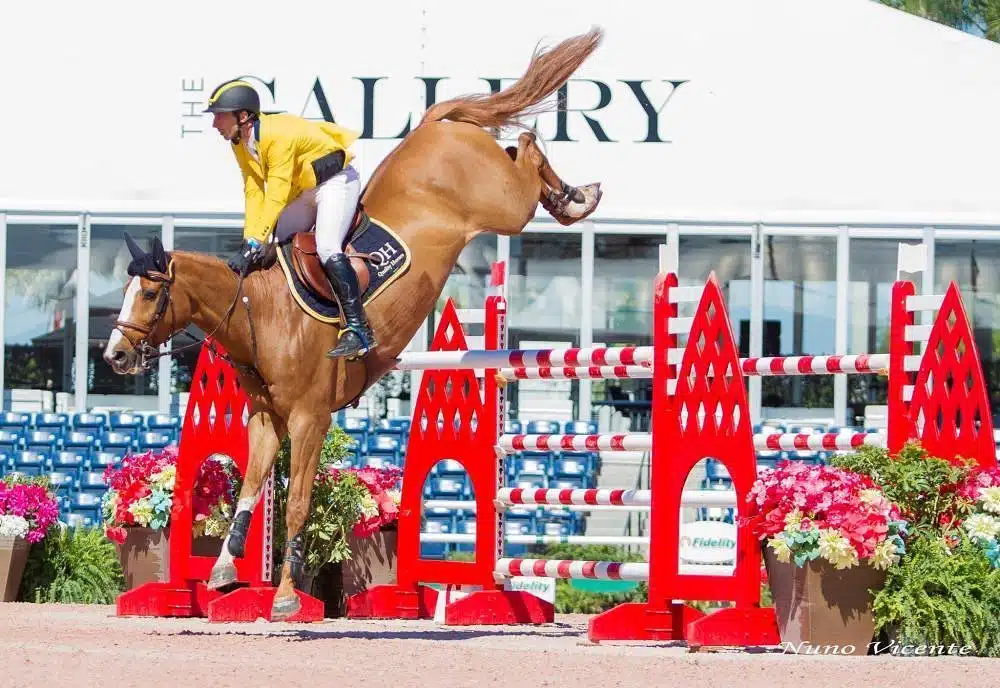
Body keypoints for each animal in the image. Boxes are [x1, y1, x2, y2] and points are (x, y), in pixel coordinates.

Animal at [102, 27, 605, 620]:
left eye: (149, 292)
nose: (114, 355)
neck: (260, 314)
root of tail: (434, 125)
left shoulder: (309, 419)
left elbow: (296, 505)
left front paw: (286, 598)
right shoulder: (266, 419)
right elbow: (249, 491)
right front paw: (226, 570)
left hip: (502, 205)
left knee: (525, 151)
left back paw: (577, 199)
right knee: (517, 147)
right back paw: (573, 196)